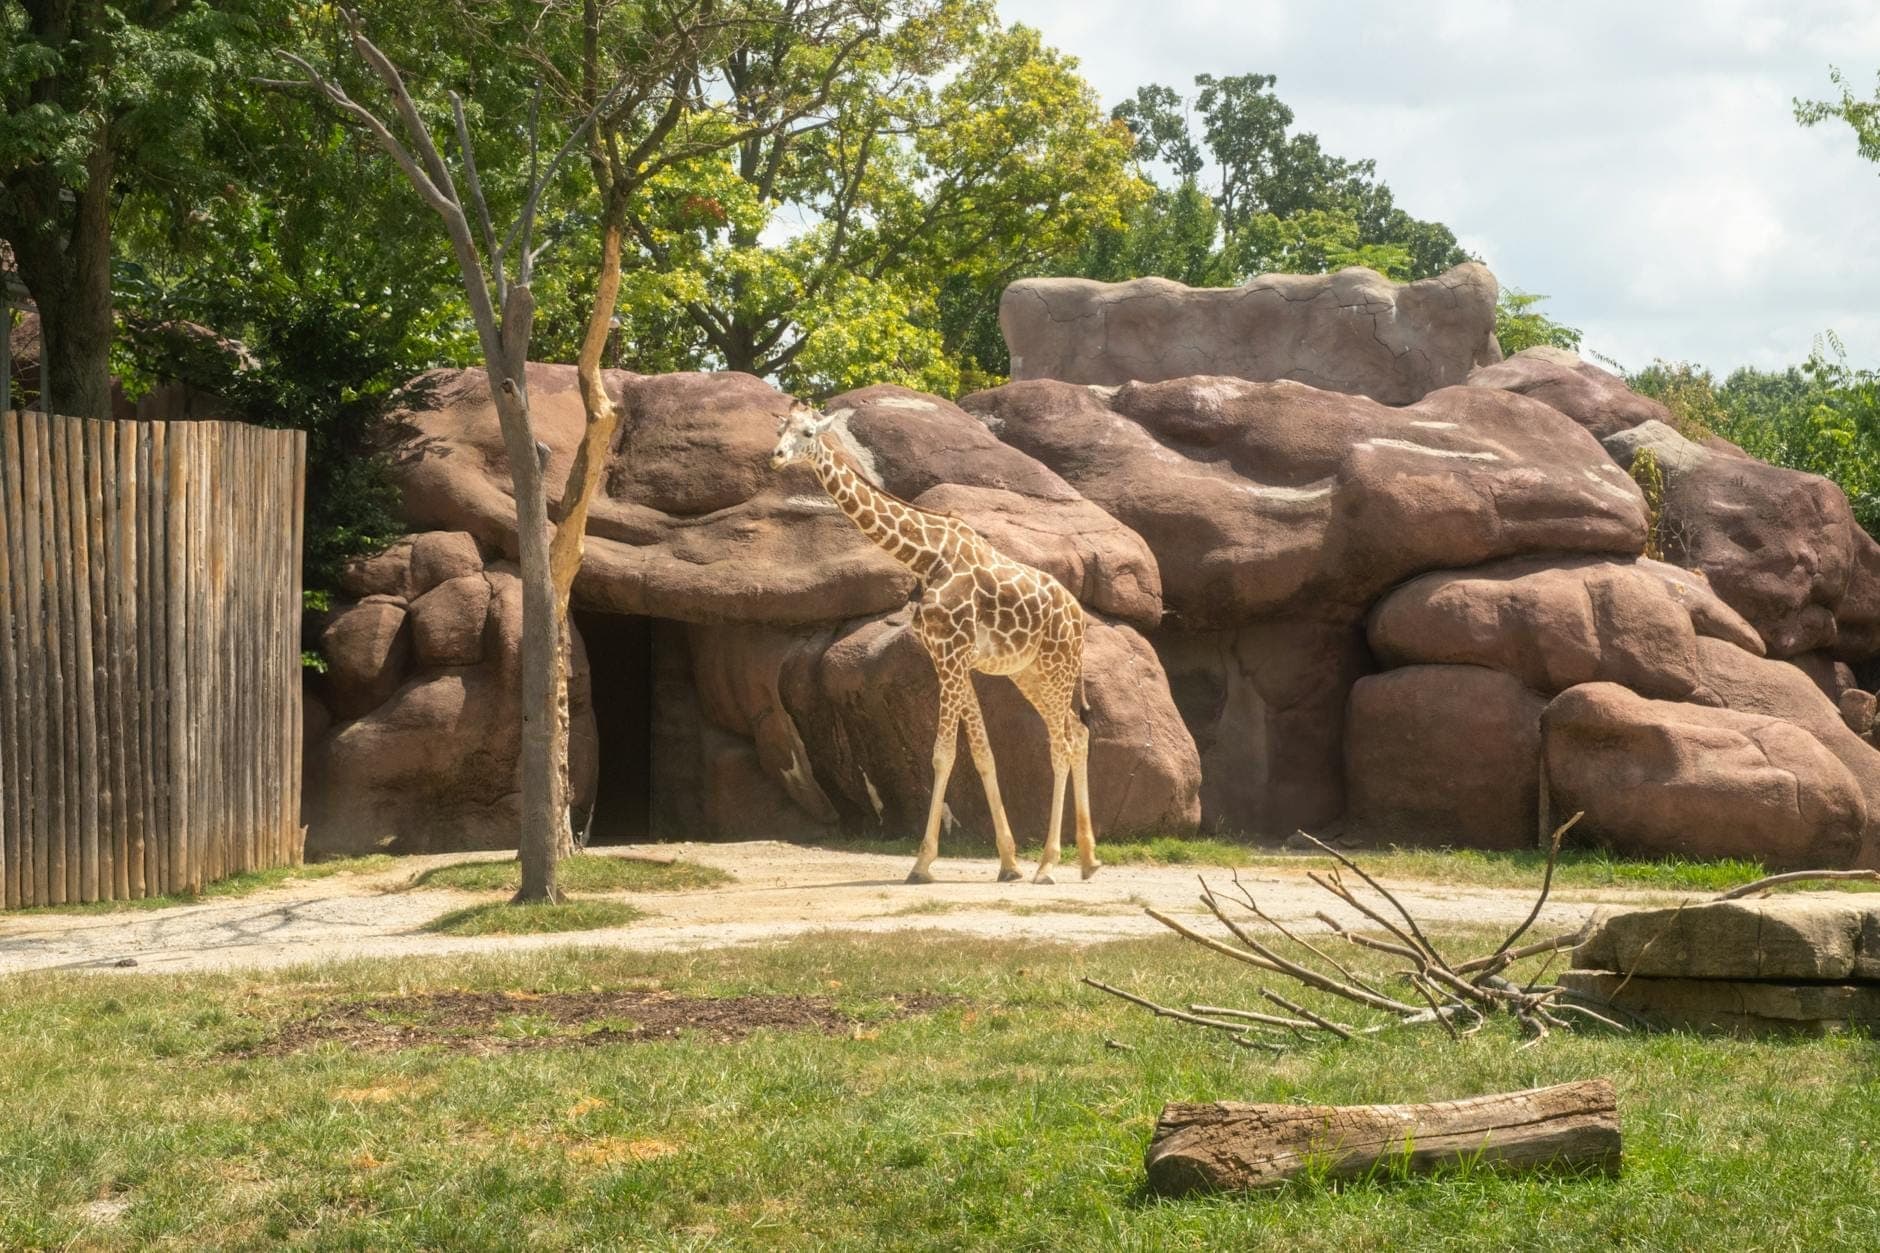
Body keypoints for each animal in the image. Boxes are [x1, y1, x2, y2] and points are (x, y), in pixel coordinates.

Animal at [770, 402, 1099, 885]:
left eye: (808, 432)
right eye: (780, 429)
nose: (775, 457)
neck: (926, 557)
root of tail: (1079, 618)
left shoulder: (951, 655)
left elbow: (943, 754)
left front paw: (922, 863)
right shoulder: (954, 659)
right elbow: (982, 754)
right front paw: (1008, 862)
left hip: (1057, 666)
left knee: (1061, 744)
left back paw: (1048, 864)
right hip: (1029, 673)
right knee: (1077, 733)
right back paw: (1089, 860)